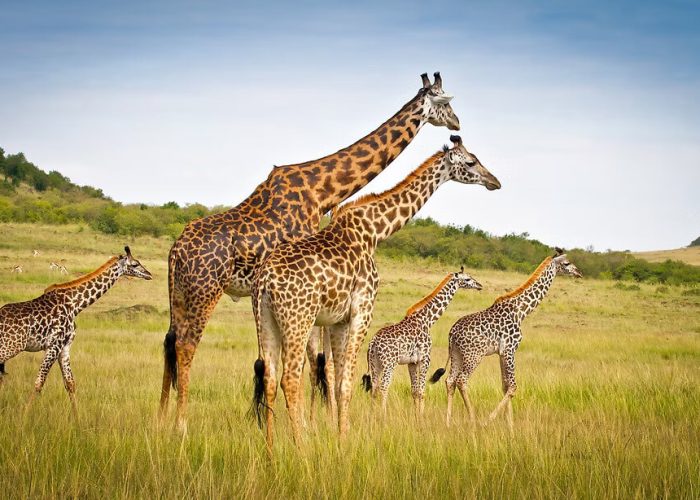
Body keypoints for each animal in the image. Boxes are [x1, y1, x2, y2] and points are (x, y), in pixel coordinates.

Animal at [0, 247, 152, 414]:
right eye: (135, 264)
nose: (149, 274)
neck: (75, 305)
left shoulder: (65, 347)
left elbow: (70, 384)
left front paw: (77, 419)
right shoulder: (54, 345)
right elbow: (39, 383)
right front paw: (24, 416)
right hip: (10, 347)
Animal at [160, 72, 462, 432]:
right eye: (446, 103)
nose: (457, 122)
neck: (322, 190)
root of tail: (176, 251)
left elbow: (304, 362)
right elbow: (317, 362)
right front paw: (312, 424)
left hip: (179, 293)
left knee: (169, 342)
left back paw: (159, 420)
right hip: (205, 291)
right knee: (186, 345)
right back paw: (180, 426)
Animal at [361, 267, 482, 417]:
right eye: (467, 279)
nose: (479, 285)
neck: (427, 320)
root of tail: (373, 342)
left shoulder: (412, 362)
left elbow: (414, 391)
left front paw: (416, 416)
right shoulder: (425, 358)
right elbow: (421, 391)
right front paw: (422, 417)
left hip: (375, 363)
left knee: (374, 388)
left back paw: (372, 416)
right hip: (389, 363)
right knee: (384, 386)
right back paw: (383, 416)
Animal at [430, 250, 582, 429]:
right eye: (566, 263)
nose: (578, 272)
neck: (521, 311)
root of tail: (452, 333)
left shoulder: (502, 352)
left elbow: (505, 386)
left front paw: (510, 426)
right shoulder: (511, 349)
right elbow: (513, 387)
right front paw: (489, 420)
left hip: (456, 354)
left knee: (450, 380)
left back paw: (448, 422)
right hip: (474, 355)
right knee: (462, 380)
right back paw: (473, 420)